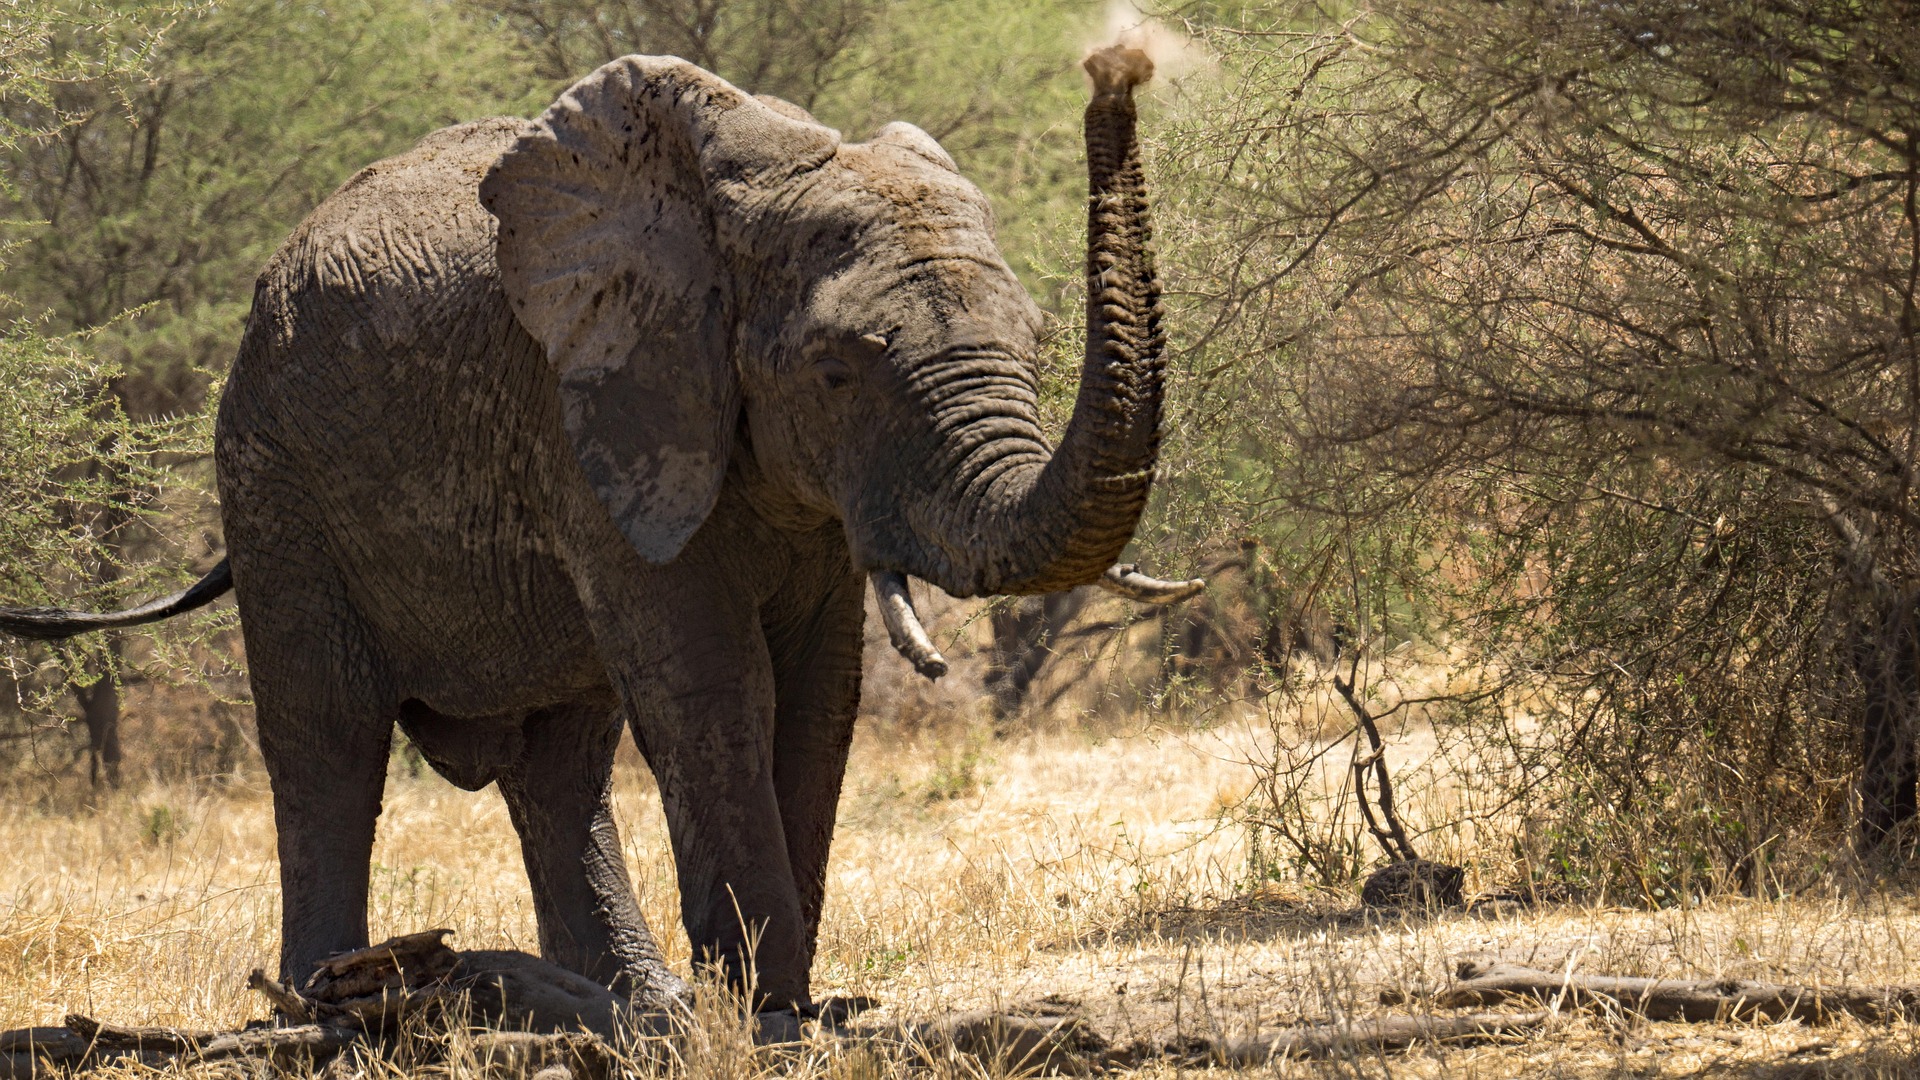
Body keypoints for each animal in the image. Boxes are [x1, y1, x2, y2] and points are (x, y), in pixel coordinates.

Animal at [0, 45, 1195, 1012]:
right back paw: (322, 1003)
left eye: (1036, 340)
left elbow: (820, 692)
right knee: (327, 732)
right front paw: (766, 1009)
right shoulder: (594, 411)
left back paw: (628, 999)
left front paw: (774, 1000)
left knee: (560, 759)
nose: (1117, 67)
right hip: (272, 469)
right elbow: (713, 686)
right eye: (836, 370)